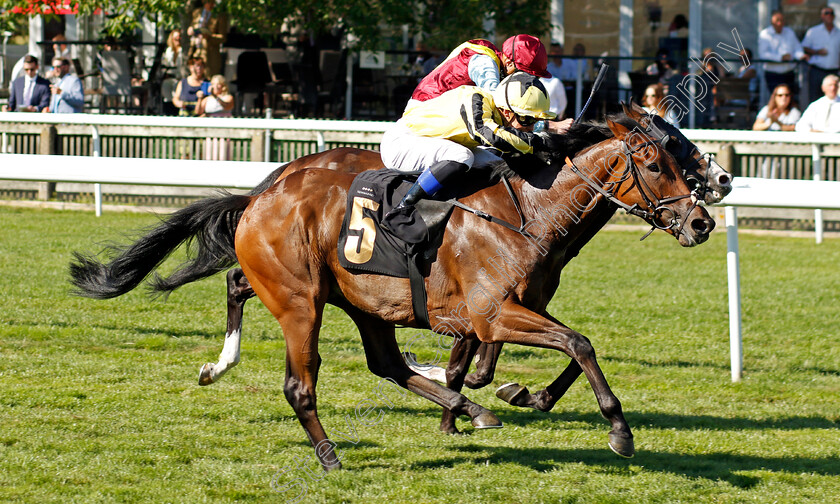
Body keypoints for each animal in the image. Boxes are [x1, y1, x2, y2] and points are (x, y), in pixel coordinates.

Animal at [74, 117, 716, 468]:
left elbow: (565, 350)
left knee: (384, 362)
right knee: (291, 363)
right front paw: (618, 429)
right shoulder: (494, 313)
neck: (526, 211)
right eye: (657, 162)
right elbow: (577, 344)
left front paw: (522, 396)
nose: (704, 220)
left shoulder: (516, 308)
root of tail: (262, 195)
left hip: (362, 302)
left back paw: (469, 409)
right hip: (301, 299)